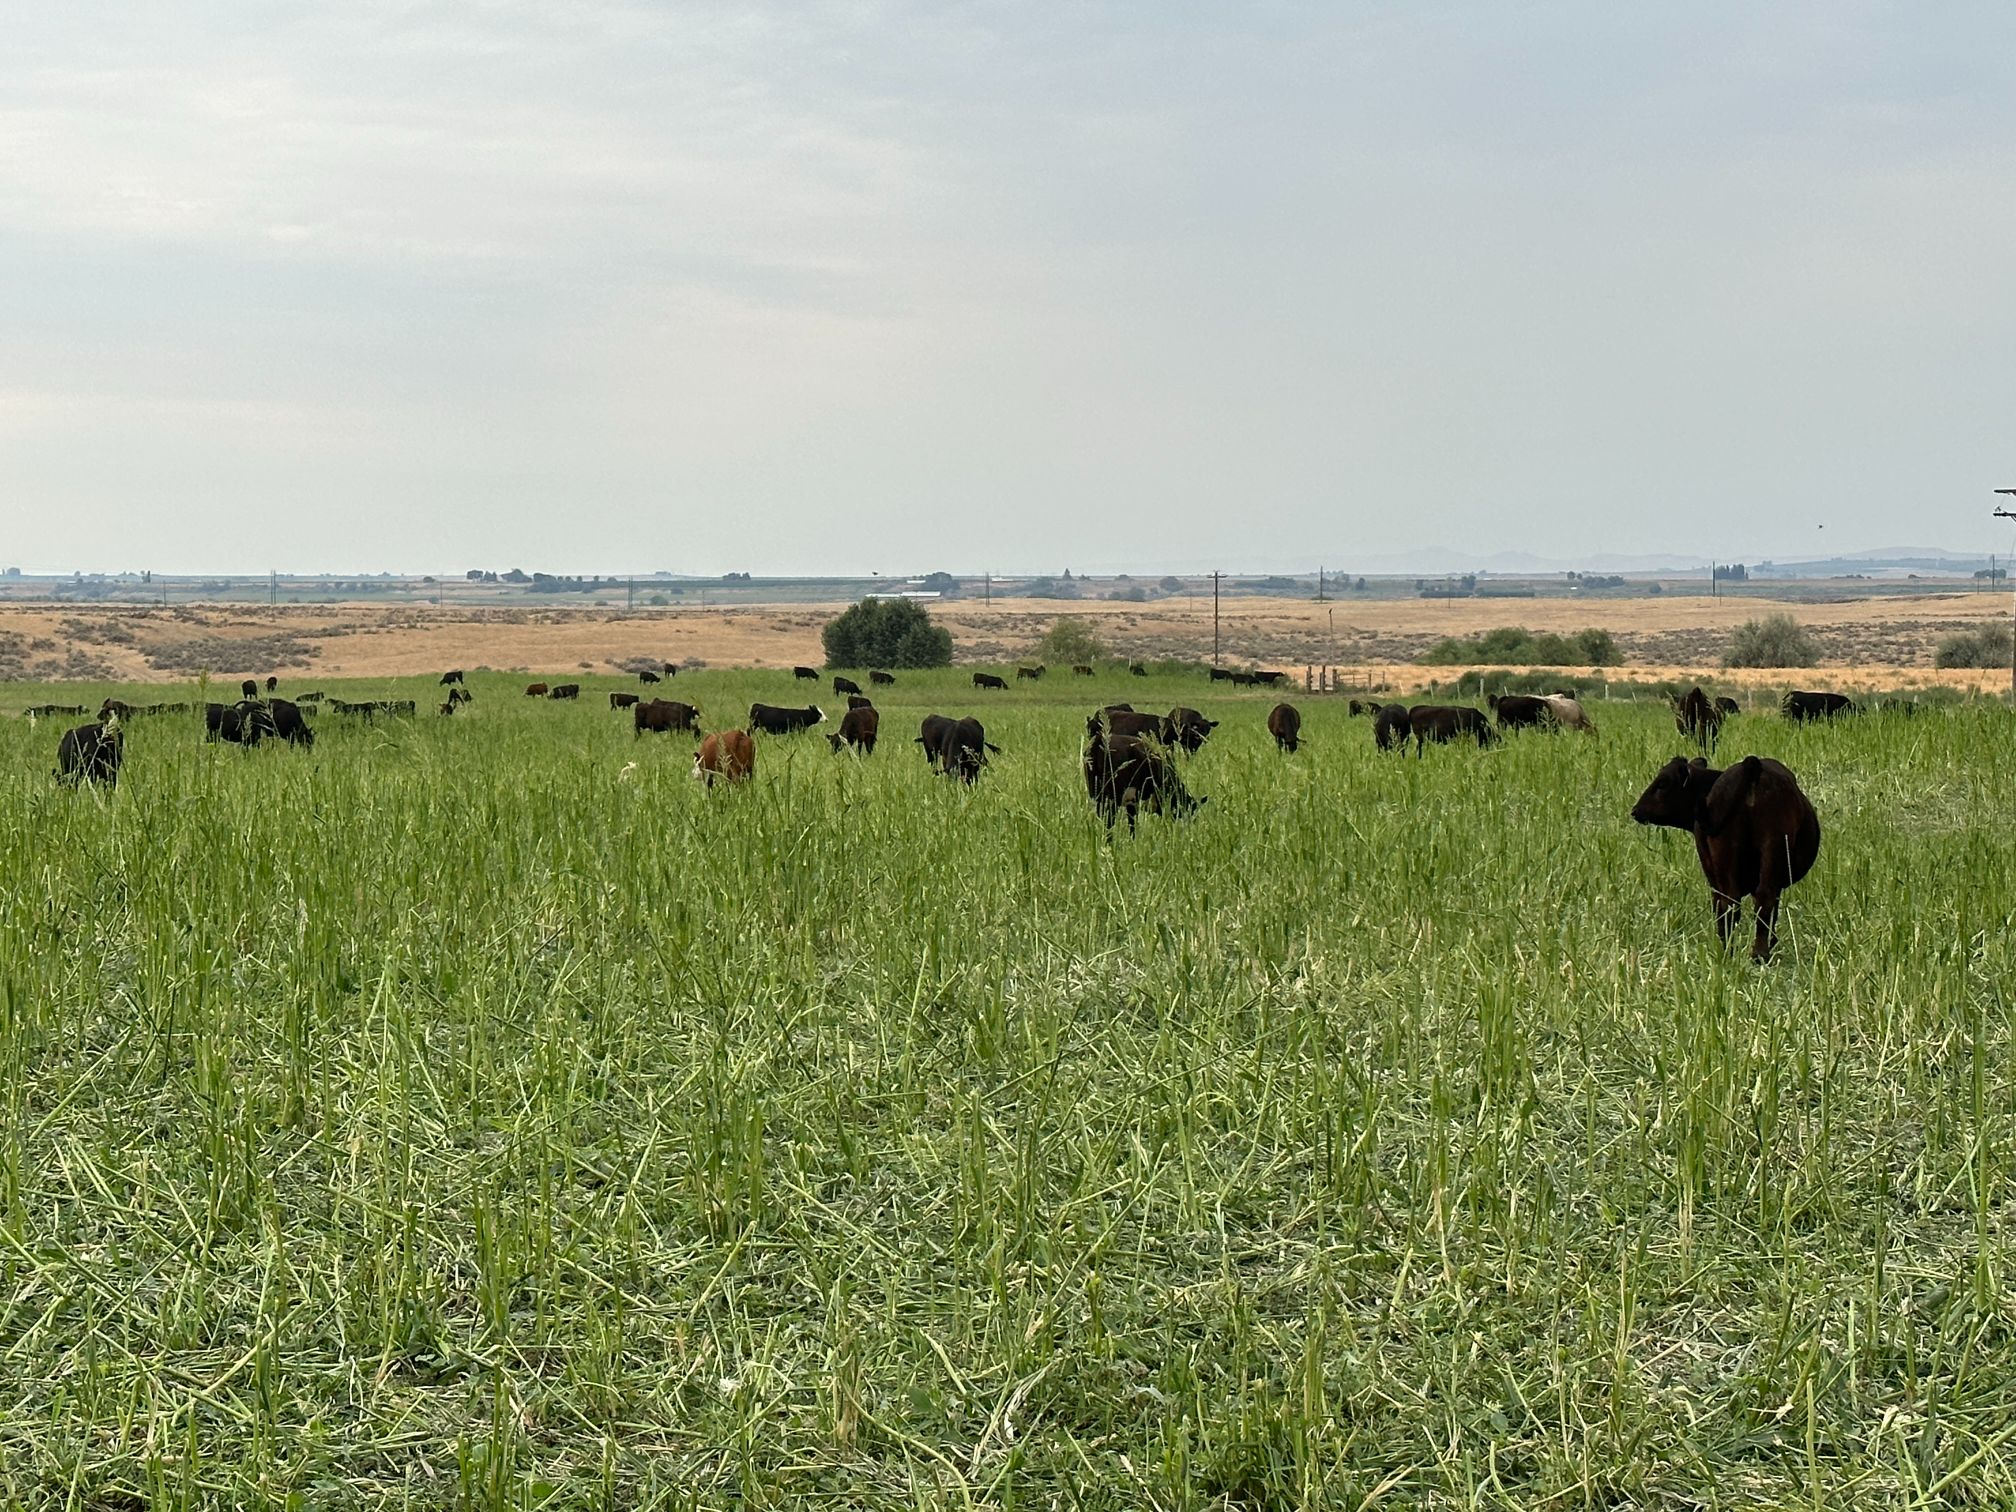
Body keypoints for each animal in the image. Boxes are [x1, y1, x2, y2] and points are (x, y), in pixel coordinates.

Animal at [1632, 754, 1820, 962]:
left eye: (1662, 783)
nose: (1635, 810)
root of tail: (1751, 765)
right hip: (1769, 848)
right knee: (1757, 900)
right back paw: (1756, 953)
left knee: (1732, 903)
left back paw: (1731, 951)